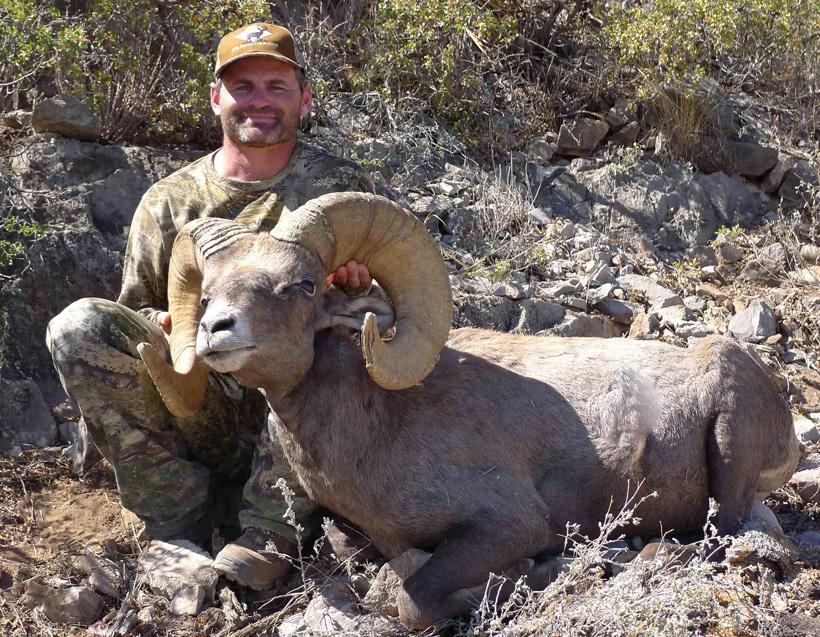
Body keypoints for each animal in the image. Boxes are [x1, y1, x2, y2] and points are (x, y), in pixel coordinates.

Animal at [138, 192, 801, 629]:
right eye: (209, 290)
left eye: (302, 285)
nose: (215, 331)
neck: (377, 424)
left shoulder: (507, 524)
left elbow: (413, 600)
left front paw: (532, 577)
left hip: (729, 448)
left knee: (723, 534)